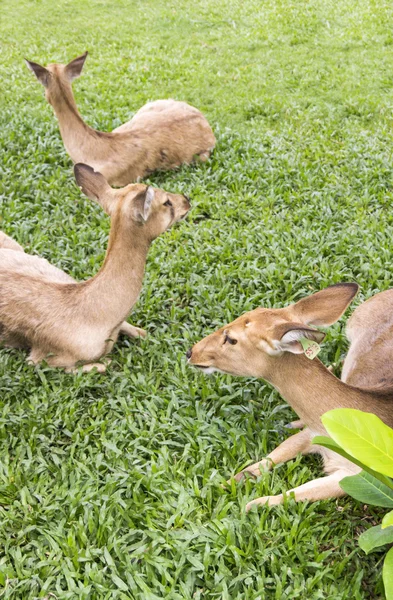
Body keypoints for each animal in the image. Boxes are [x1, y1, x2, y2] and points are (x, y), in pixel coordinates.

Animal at [185, 284, 392, 508]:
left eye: (231, 339)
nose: (191, 352)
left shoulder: (354, 476)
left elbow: (281, 497)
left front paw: (244, 503)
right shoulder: (311, 434)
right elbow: (260, 463)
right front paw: (219, 485)